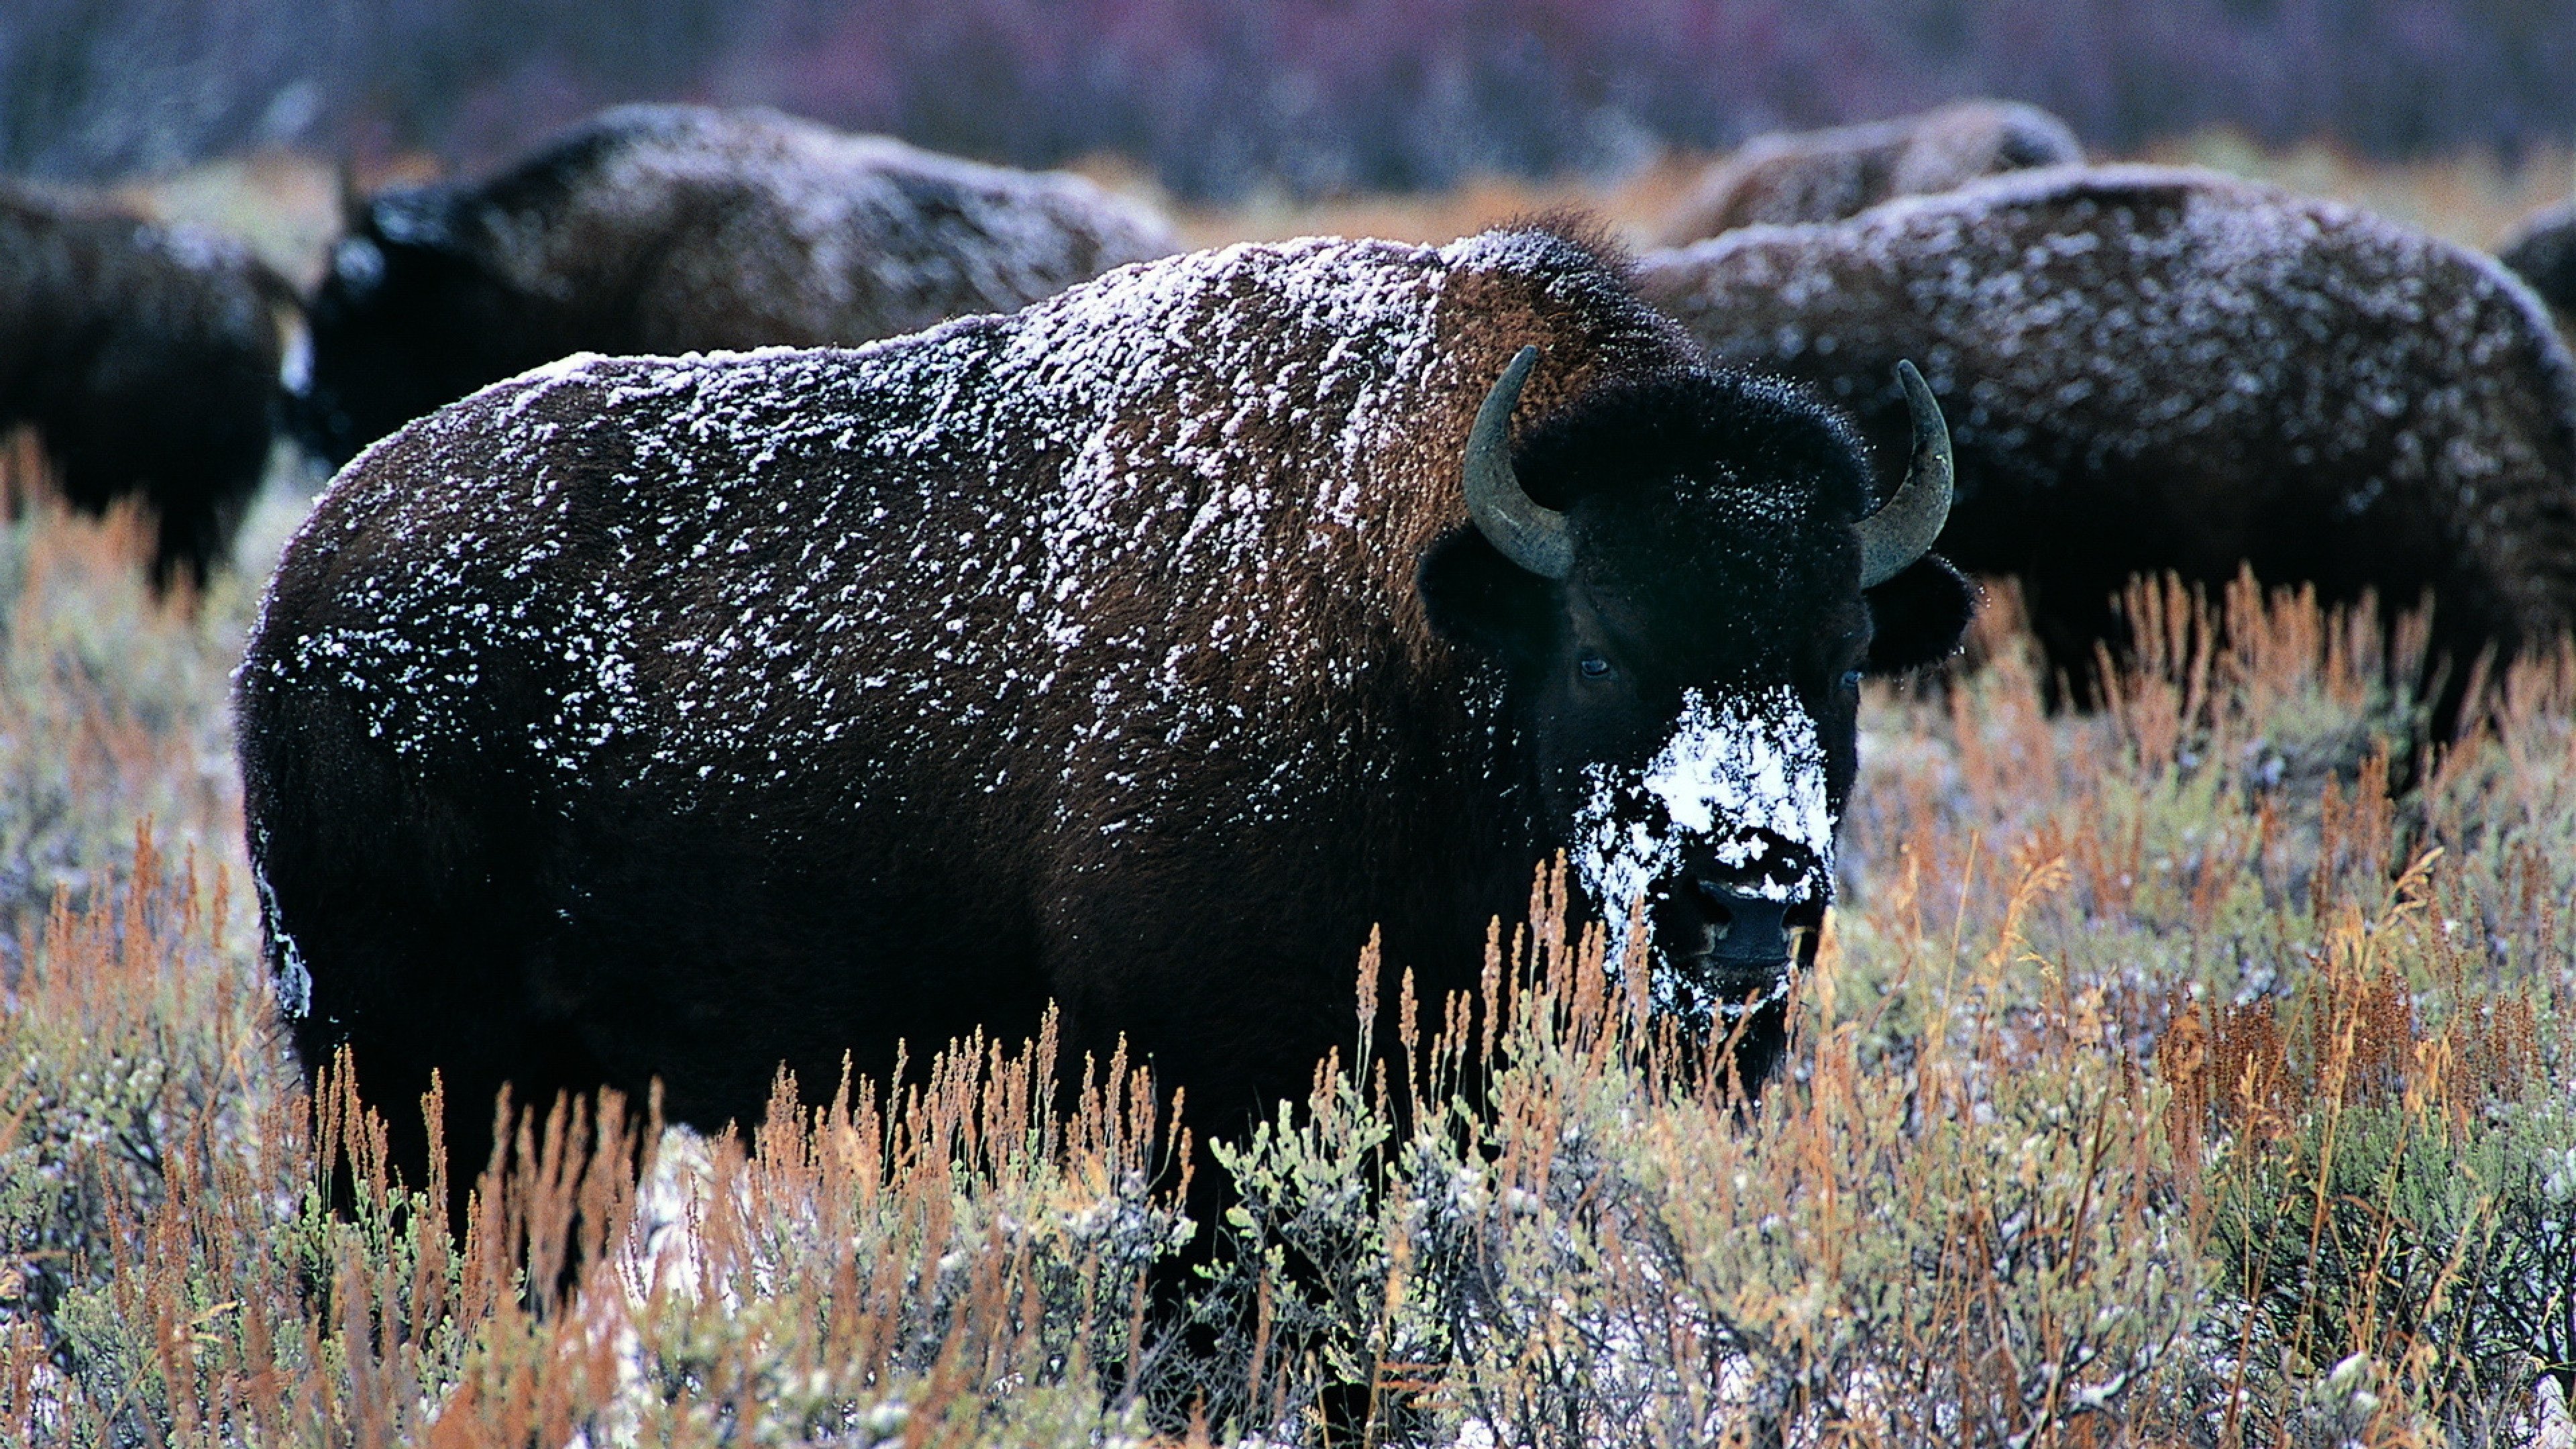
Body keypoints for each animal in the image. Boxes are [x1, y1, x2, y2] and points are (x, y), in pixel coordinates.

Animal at [241, 220, 1968, 1237]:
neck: (1422, 605)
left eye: (1841, 658)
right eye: (1602, 649)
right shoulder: (1218, 1084)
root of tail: (308, 574)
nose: (1746, 902)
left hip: (565, 1103)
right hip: (397, 1071)